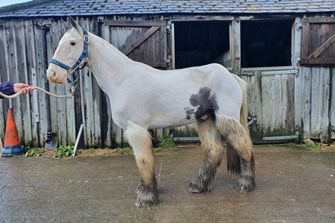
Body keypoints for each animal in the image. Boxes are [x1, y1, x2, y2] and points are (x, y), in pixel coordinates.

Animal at [47, 17, 256, 207]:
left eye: (73, 42)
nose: (53, 74)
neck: (123, 80)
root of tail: (231, 76)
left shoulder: (136, 129)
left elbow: (143, 161)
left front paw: (146, 198)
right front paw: (147, 192)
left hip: (225, 118)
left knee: (243, 144)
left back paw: (246, 184)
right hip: (206, 119)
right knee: (214, 150)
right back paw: (198, 185)